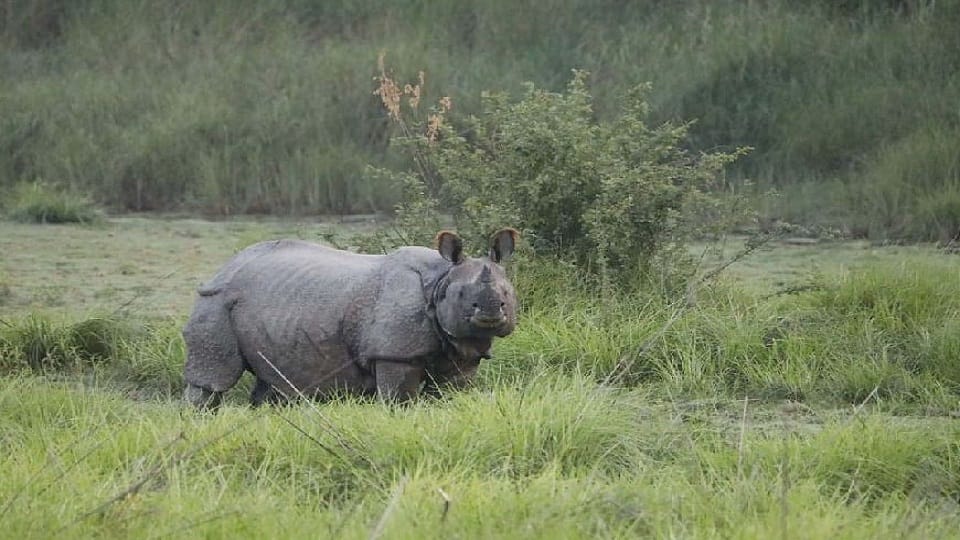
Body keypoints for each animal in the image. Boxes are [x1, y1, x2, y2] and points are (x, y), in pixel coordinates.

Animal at [182, 228, 519, 409]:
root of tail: (225, 266)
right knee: (213, 379)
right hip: (216, 301)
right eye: (461, 295)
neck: (440, 280)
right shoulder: (393, 354)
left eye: (508, 293)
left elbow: (451, 394)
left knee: (273, 381)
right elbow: (400, 400)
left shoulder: (463, 355)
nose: (490, 312)